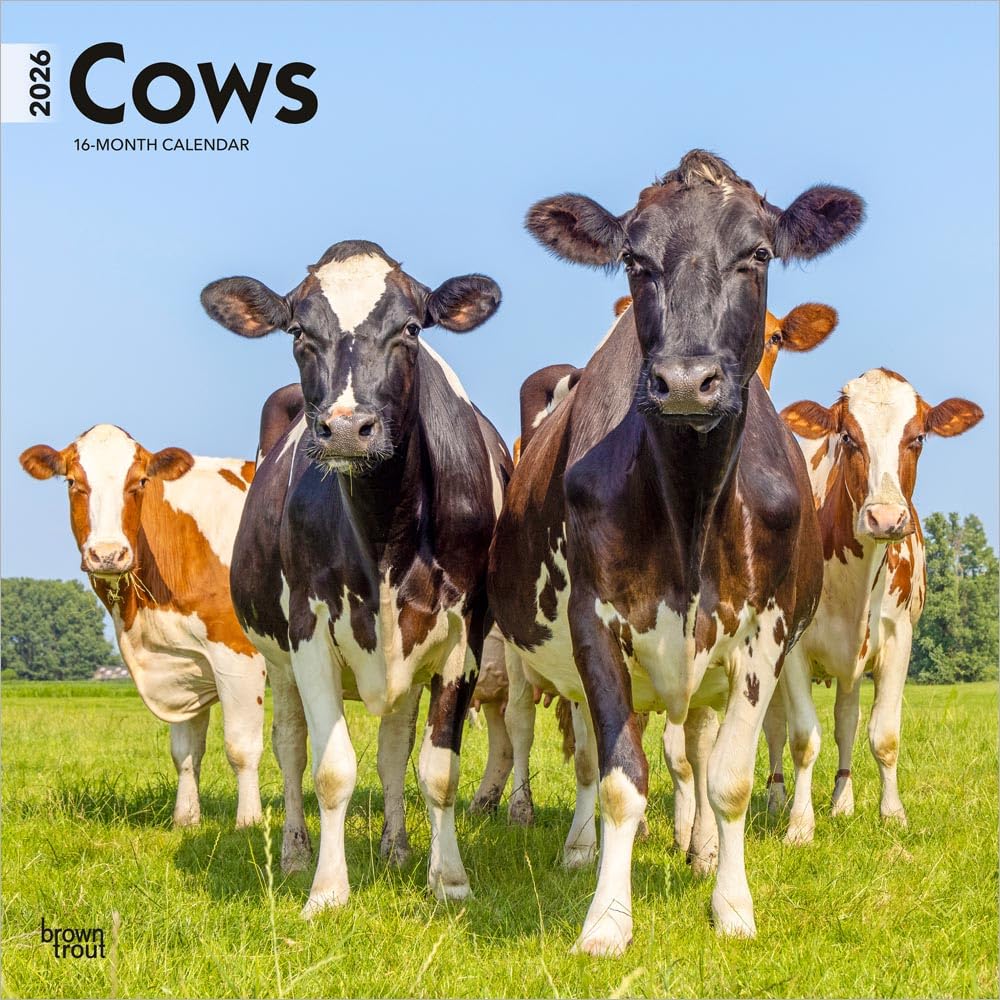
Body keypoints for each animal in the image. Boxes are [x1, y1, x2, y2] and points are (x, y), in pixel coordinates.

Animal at [19, 425, 265, 828]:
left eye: (139, 482)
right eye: (72, 481)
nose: (107, 554)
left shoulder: (238, 655)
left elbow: (241, 748)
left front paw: (248, 823)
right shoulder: (182, 662)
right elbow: (185, 752)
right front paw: (185, 818)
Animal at [201, 240, 504, 917]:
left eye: (411, 329)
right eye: (298, 331)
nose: (344, 428)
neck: (386, 527)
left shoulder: (462, 634)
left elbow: (436, 769)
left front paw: (449, 880)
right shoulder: (309, 630)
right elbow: (331, 769)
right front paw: (327, 890)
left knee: (393, 748)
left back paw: (395, 848)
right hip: (278, 658)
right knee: (289, 747)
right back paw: (294, 853)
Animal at [489, 149, 864, 954]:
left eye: (759, 253)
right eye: (635, 258)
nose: (687, 382)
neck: (690, 508)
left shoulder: (764, 632)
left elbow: (728, 778)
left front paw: (733, 907)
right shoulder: (596, 625)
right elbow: (619, 779)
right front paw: (606, 919)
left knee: (695, 744)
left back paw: (701, 851)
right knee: (584, 753)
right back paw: (579, 846)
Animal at [763, 369, 982, 842]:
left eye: (918, 437)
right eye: (847, 437)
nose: (885, 518)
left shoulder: (899, 638)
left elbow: (883, 734)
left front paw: (892, 814)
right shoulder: (793, 645)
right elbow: (802, 737)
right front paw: (799, 826)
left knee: (846, 720)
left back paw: (842, 801)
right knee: (774, 727)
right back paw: (776, 800)